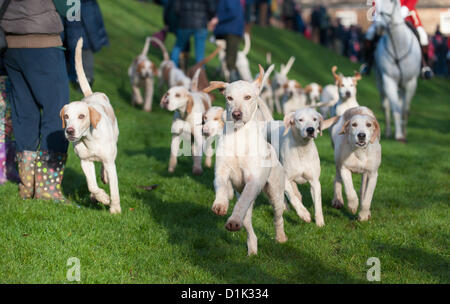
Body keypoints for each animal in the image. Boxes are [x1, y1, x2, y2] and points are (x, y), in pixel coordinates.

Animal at [374, 0, 420, 142]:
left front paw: (403, 133)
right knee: (386, 106)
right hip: (381, 83)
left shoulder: (411, 82)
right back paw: (389, 132)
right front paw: (398, 135)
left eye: (390, 2)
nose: (379, 28)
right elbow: (395, 109)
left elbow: (405, 109)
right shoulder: (388, 80)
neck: (398, 45)